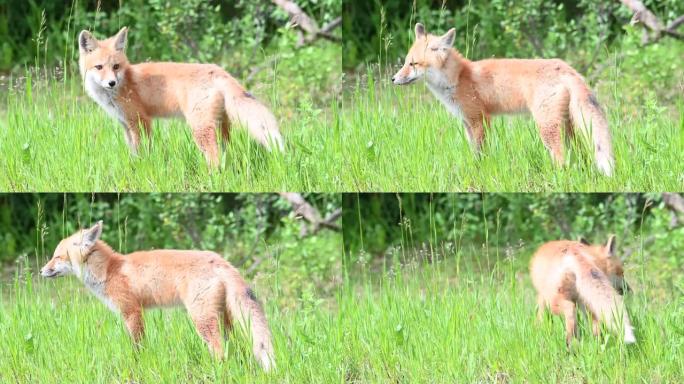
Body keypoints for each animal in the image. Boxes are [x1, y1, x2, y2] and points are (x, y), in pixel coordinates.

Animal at [40, 220, 274, 370]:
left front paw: (137, 366)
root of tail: (221, 261)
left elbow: (137, 348)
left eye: (57, 257)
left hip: (202, 320)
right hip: (225, 319)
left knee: (220, 352)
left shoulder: (132, 312)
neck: (109, 270)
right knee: (237, 348)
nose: (41, 271)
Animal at [392, 24, 616, 178]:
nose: (393, 79)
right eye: (406, 62)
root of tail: (567, 68)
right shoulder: (467, 122)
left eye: (413, 64)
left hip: (547, 127)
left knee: (561, 158)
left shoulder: (479, 120)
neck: (458, 78)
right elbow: (474, 151)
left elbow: (480, 153)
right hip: (569, 126)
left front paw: (479, 171)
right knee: (580, 155)